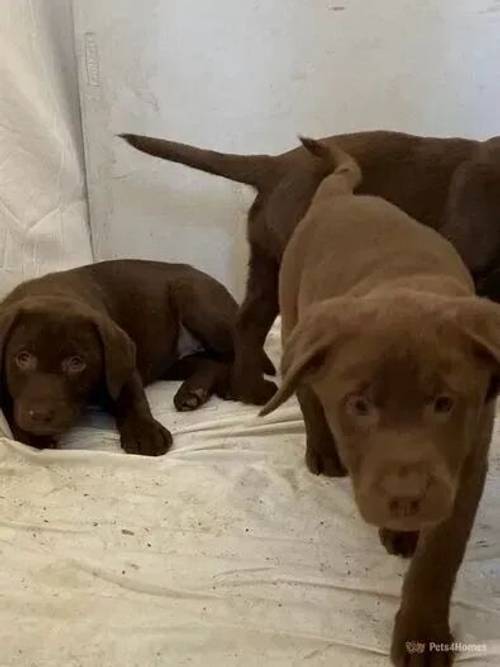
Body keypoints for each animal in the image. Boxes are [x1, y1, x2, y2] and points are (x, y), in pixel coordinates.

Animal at [0, 258, 242, 456]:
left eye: (77, 363)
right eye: (23, 357)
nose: (40, 416)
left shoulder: (123, 367)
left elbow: (132, 397)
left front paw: (145, 432)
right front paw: (33, 436)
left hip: (197, 303)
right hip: (169, 362)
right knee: (209, 362)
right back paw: (193, 392)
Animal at [260, 138, 498, 664]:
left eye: (445, 404)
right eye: (359, 405)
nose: (404, 496)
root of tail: (336, 196)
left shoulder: (466, 462)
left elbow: (439, 555)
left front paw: (422, 629)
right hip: (294, 315)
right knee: (302, 389)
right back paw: (323, 451)